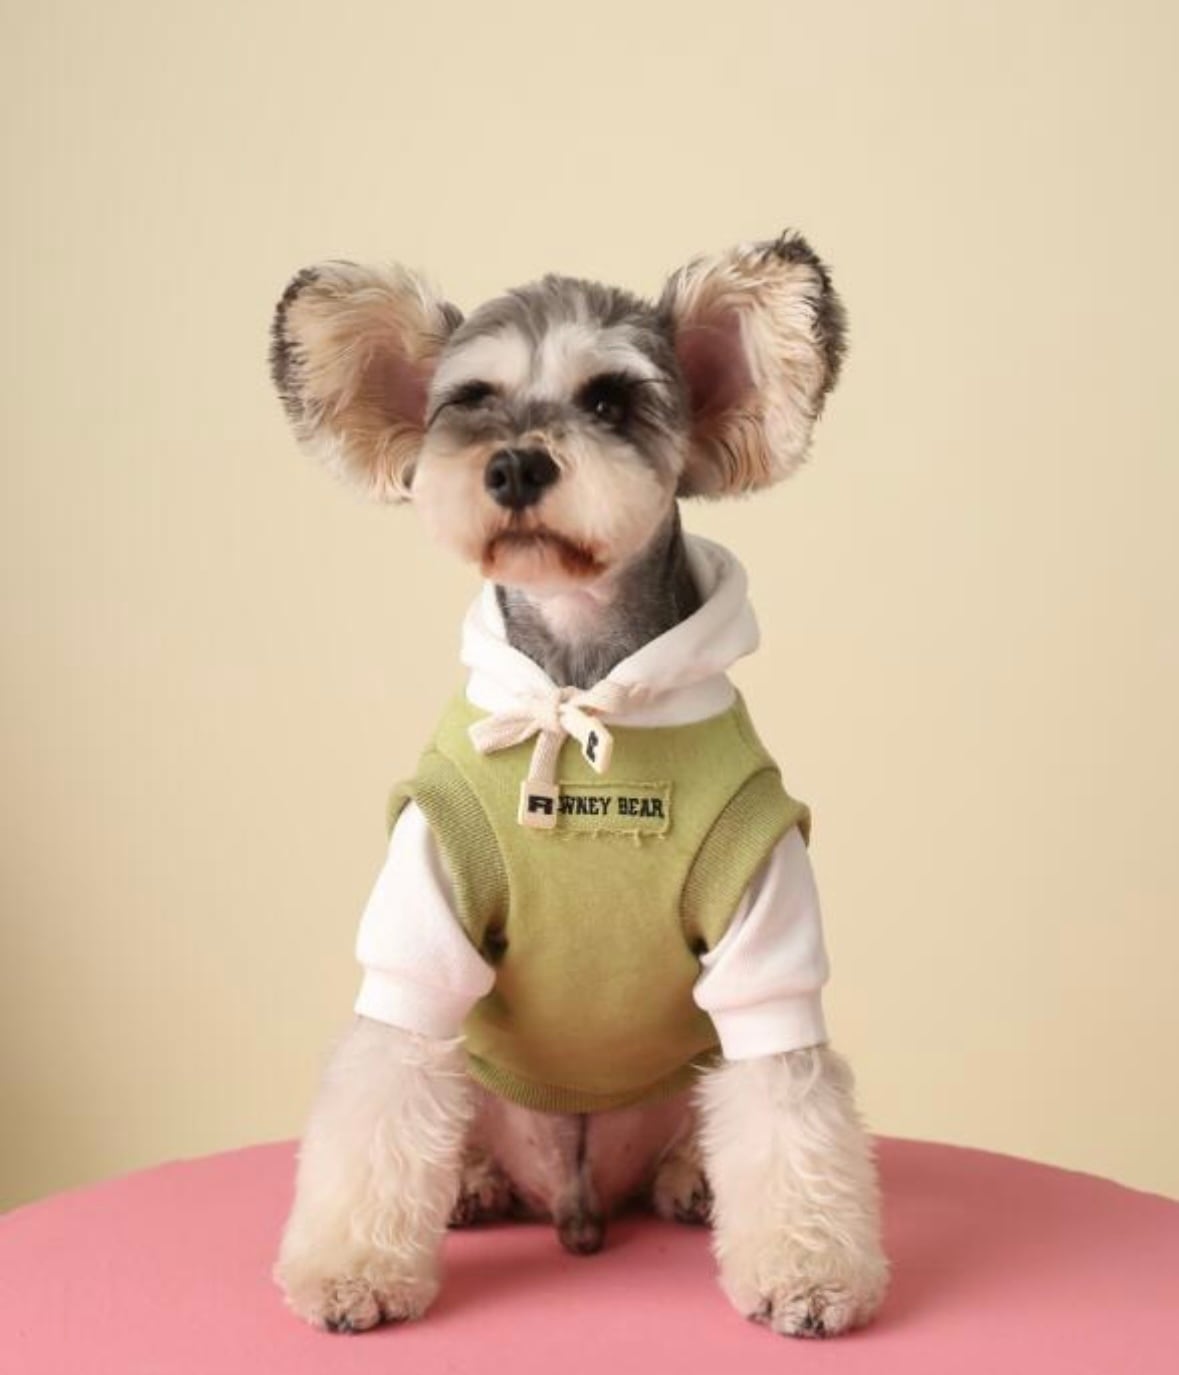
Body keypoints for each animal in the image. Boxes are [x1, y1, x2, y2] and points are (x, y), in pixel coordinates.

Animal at [267, 233, 889, 1339]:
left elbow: (784, 1088)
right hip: (479, 1079)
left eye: (609, 400)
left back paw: (691, 1178)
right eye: (470, 400)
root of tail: (577, 1198)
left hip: (686, 1073)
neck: (581, 675)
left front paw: (809, 1273)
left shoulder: (764, 924)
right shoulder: (419, 925)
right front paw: (350, 1270)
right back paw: (472, 1181)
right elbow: (383, 1076)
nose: (515, 463)